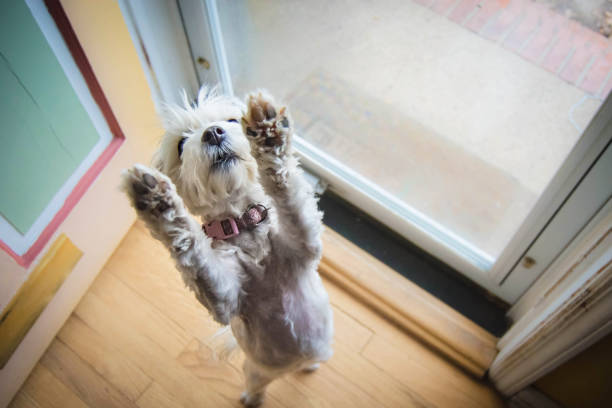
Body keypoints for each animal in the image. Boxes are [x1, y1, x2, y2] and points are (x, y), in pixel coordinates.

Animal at [120, 86, 334, 404]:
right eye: (181, 144)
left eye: (232, 120)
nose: (212, 133)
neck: (244, 224)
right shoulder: (225, 298)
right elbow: (194, 252)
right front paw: (158, 200)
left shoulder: (304, 243)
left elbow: (286, 191)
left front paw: (268, 133)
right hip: (256, 370)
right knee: (257, 385)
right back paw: (252, 399)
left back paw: (310, 365)